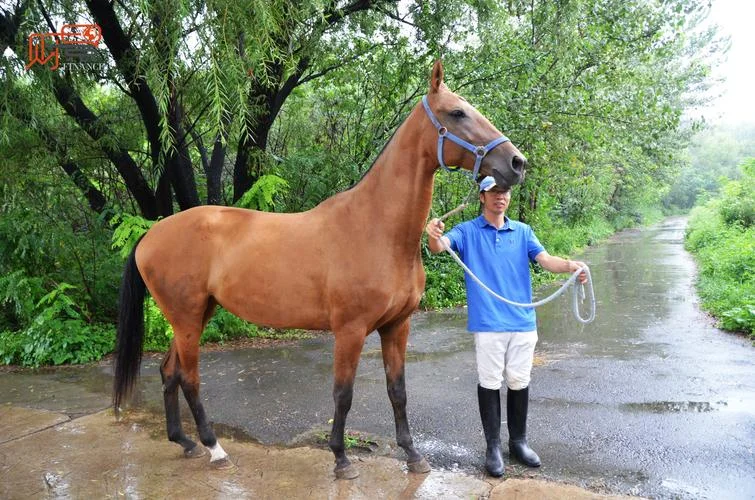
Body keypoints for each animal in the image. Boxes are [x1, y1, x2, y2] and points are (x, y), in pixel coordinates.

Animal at [113, 60, 527, 479]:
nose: (516, 163)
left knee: (169, 372)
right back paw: (214, 448)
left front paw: (413, 456)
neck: (377, 229)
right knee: (189, 379)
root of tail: (150, 236)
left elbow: (397, 391)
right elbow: (343, 394)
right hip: (187, 318)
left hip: (196, 314)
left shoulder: (398, 326)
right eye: (457, 113)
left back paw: (183, 442)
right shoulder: (350, 330)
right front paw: (341, 458)